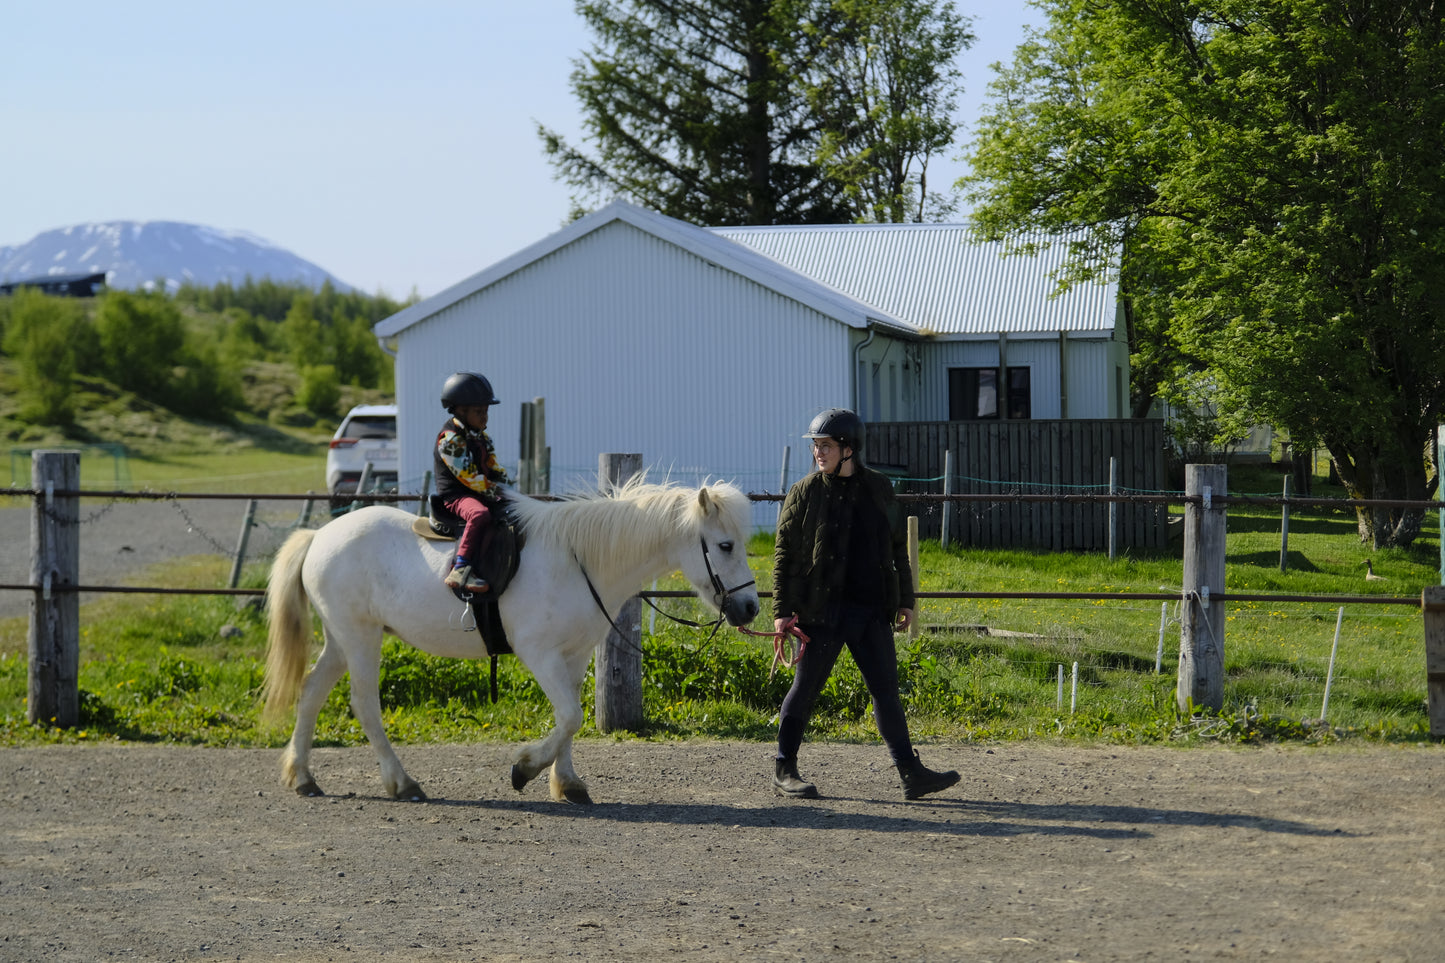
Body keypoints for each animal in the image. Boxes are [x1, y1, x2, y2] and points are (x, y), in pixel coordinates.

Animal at [262, 478, 760, 804]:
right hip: (360, 636)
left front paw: (568, 782)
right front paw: (525, 769)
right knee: (365, 705)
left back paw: (302, 777)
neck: (579, 560)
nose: (751, 608)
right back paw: (401, 783)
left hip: (340, 639)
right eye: (726, 545)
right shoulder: (539, 653)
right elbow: (571, 715)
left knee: (311, 691)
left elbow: (570, 719)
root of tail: (320, 535)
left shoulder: (574, 656)